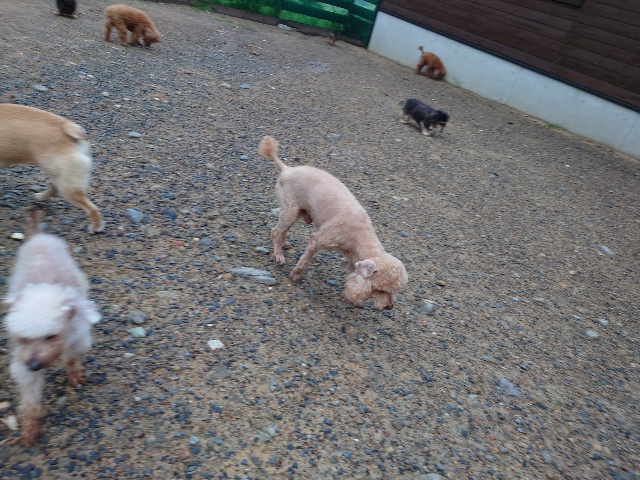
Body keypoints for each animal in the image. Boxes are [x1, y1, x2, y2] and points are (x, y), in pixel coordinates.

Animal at [0, 104, 104, 233]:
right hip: (59, 175)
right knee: (54, 188)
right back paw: (40, 197)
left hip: (68, 187)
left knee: (91, 208)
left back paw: (96, 228)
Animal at [3, 209, 100, 446]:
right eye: (22, 338)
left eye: (51, 336)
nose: (34, 365)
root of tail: (39, 236)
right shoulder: (22, 363)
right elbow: (29, 397)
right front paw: (30, 428)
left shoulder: (78, 337)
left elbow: (72, 358)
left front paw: (74, 375)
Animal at [258, 136, 408, 310]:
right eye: (381, 289)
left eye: (394, 290)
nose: (390, 307)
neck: (360, 235)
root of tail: (287, 169)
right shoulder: (317, 240)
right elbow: (304, 261)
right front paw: (295, 275)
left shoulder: (354, 260)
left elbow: (351, 277)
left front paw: (356, 300)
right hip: (291, 210)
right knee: (275, 231)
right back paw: (279, 254)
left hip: (297, 212)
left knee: (283, 230)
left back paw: (284, 243)